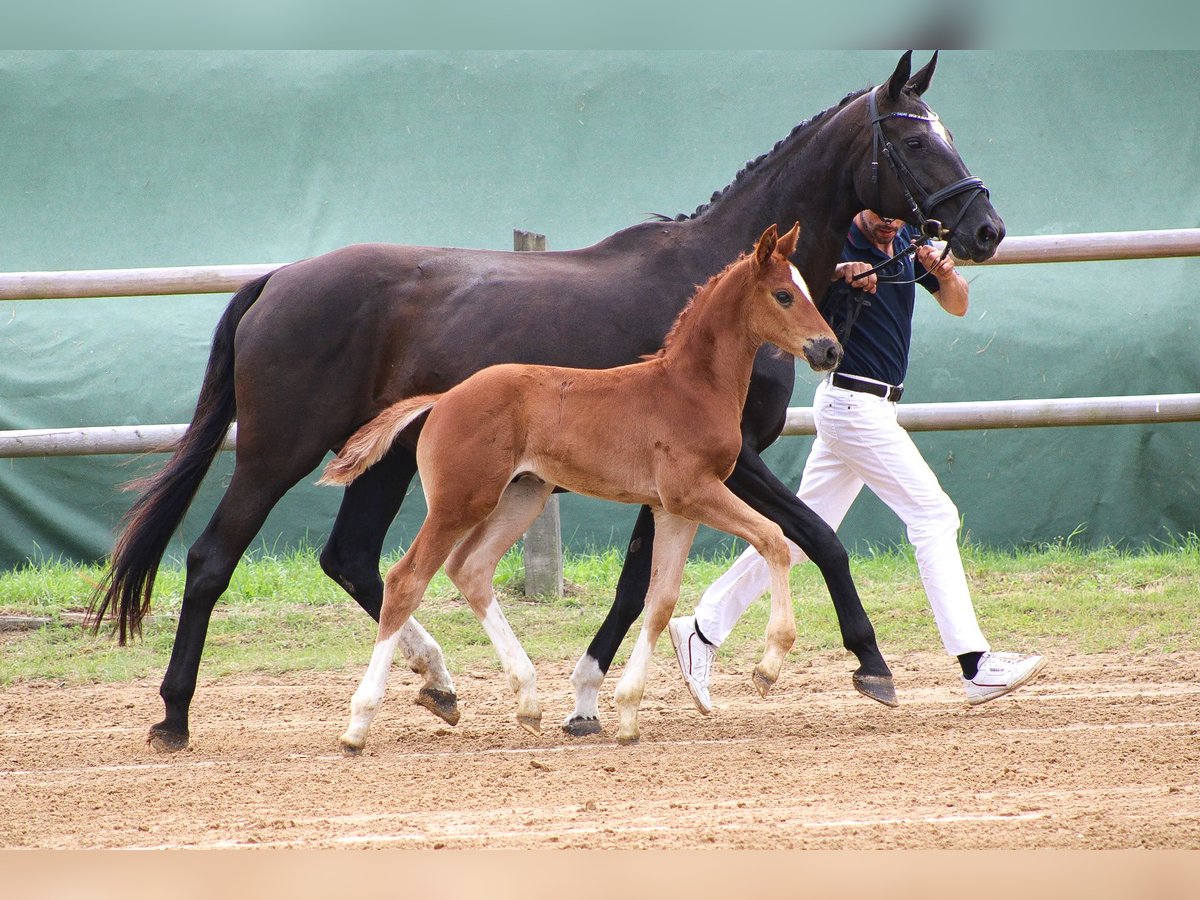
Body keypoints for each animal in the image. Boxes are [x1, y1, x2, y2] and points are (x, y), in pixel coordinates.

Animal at [324, 222, 840, 748]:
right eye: (782, 295)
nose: (829, 349)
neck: (690, 388)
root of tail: (444, 398)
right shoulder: (695, 492)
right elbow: (774, 539)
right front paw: (769, 666)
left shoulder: (673, 509)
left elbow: (660, 601)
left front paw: (628, 711)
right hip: (458, 503)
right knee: (405, 581)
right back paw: (360, 724)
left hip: (522, 497)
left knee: (471, 569)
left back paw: (528, 700)